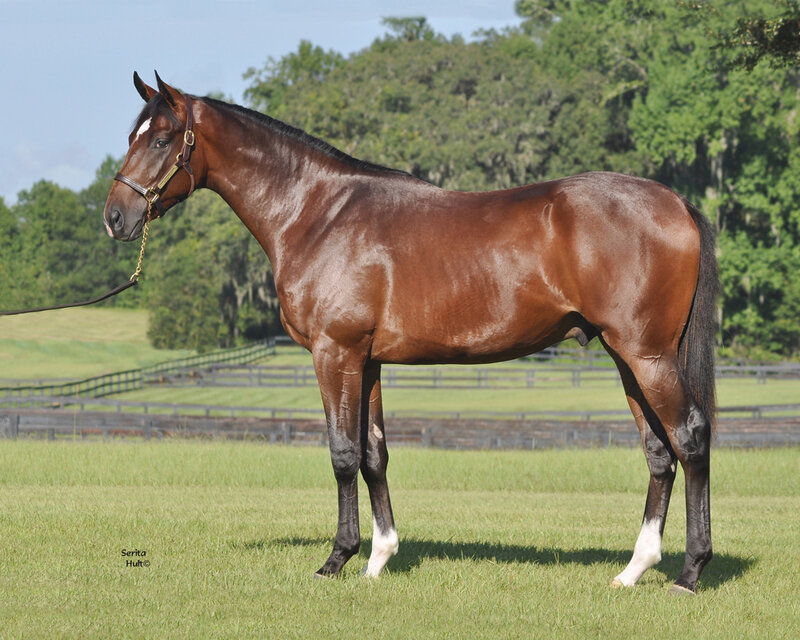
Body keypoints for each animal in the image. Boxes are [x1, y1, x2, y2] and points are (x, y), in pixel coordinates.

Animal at [104, 72, 718, 595]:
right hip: (627, 357)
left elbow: (343, 453)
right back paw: (634, 571)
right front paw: (379, 558)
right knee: (658, 452)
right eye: (132, 134)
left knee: (689, 438)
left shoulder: (334, 353)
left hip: (647, 356)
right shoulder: (368, 360)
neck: (319, 214)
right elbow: (374, 454)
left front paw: (336, 560)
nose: (114, 217)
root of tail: (676, 202)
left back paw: (690, 572)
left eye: (162, 139)